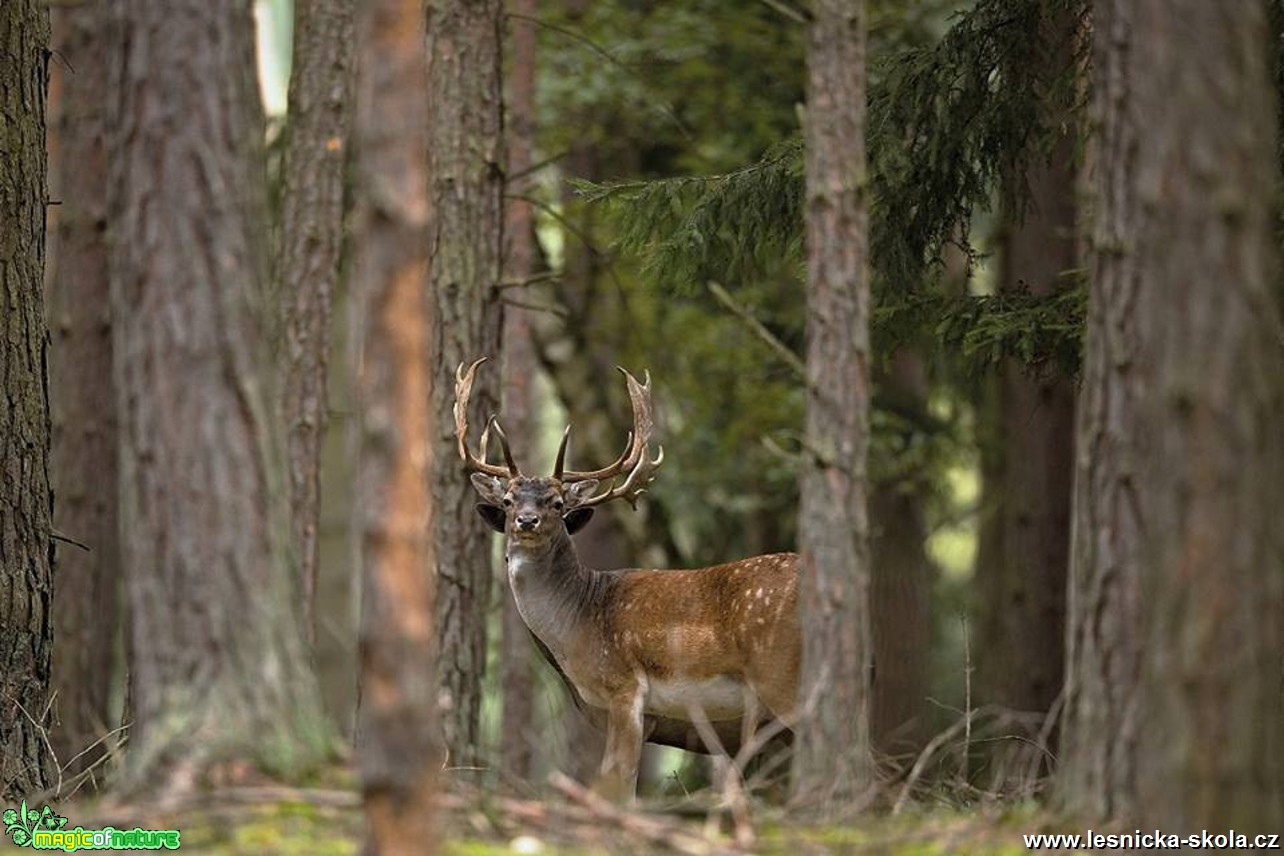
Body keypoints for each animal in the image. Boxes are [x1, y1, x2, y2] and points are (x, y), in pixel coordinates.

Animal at [454, 359, 801, 800]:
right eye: (508, 499)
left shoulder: (625, 689)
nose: (526, 521)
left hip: (779, 671)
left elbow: (616, 782)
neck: (579, 624)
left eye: (557, 503)